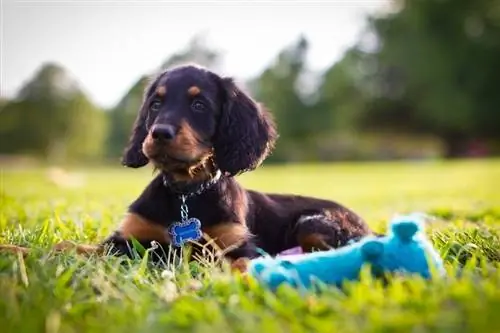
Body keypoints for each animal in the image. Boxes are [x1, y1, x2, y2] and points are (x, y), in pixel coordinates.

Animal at [0, 63, 376, 268]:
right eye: (155, 103)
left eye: (198, 104)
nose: (159, 133)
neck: (186, 192)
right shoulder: (127, 240)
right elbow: (65, 246)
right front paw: (14, 251)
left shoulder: (232, 245)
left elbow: (241, 261)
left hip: (313, 222)